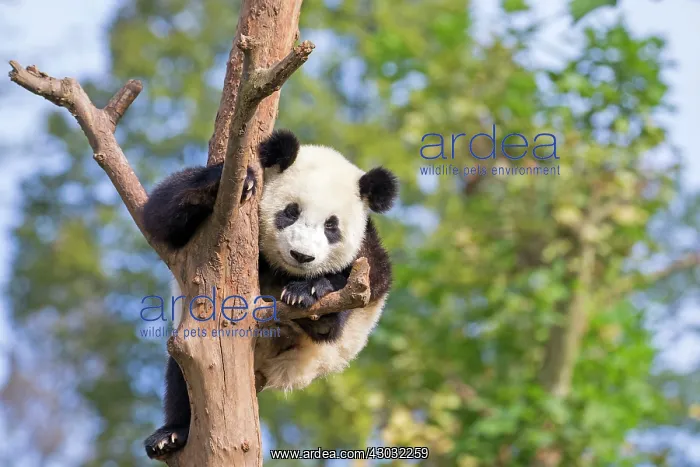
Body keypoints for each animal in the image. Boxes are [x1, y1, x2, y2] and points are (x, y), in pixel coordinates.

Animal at [142, 129, 398, 459]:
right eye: (290, 212)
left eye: (332, 226)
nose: (302, 256)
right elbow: (160, 213)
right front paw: (235, 180)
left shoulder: (368, 250)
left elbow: (376, 276)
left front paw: (310, 289)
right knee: (181, 372)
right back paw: (170, 435)